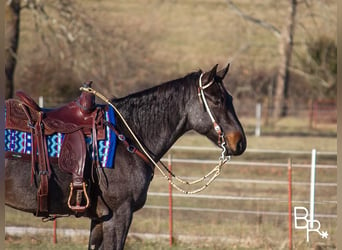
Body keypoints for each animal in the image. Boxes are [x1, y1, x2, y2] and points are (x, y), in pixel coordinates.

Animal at [4, 63, 246, 250]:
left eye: (230, 98)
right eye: (217, 100)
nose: (240, 142)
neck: (128, 135)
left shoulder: (99, 219)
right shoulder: (119, 214)